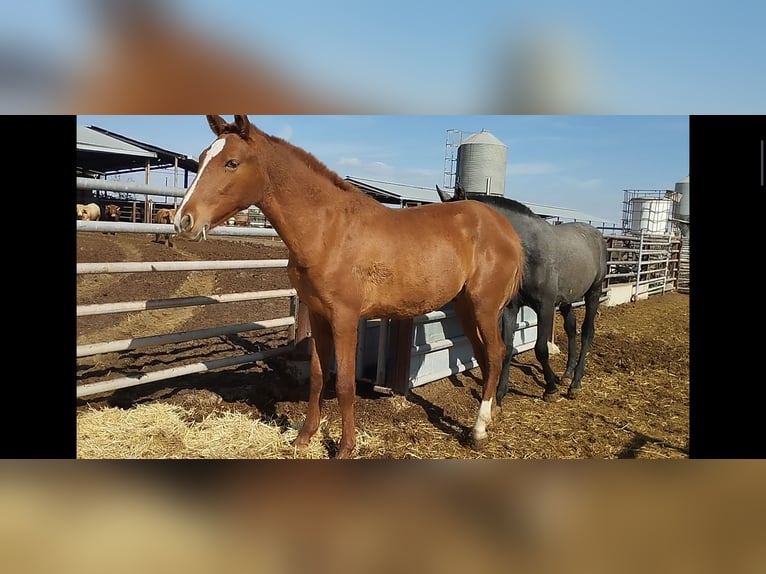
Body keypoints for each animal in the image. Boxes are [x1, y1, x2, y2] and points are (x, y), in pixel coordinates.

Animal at [174, 115, 524, 462]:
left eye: (232, 162)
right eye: (202, 158)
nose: (183, 221)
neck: (328, 231)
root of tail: (505, 228)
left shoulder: (344, 318)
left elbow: (344, 384)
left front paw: (345, 448)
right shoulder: (318, 315)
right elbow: (317, 377)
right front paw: (304, 438)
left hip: (484, 306)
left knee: (496, 353)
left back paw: (478, 430)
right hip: (466, 306)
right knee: (485, 355)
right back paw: (490, 417)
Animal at [440, 184, 608, 404]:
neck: (528, 250)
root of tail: (597, 235)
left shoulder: (545, 306)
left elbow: (541, 349)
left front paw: (550, 388)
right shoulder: (511, 308)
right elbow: (508, 348)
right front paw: (500, 394)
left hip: (593, 293)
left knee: (588, 332)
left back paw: (575, 383)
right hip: (566, 300)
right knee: (571, 328)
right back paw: (567, 374)